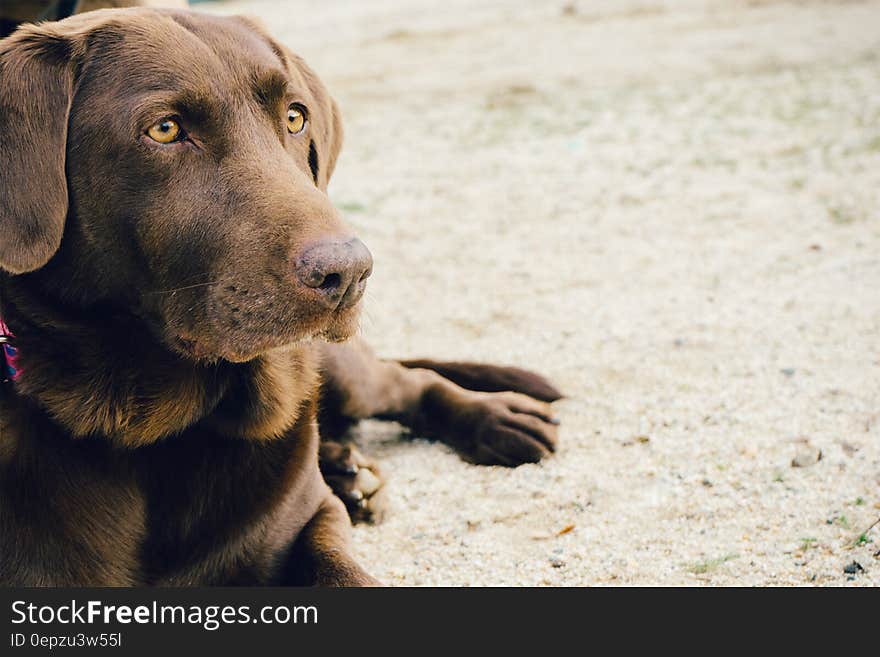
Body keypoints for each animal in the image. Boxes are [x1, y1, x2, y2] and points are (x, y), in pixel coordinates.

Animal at [0, 9, 560, 584]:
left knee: (408, 381)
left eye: (295, 117)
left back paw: (494, 419)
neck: (157, 432)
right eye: (165, 129)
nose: (349, 271)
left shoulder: (310, 518)